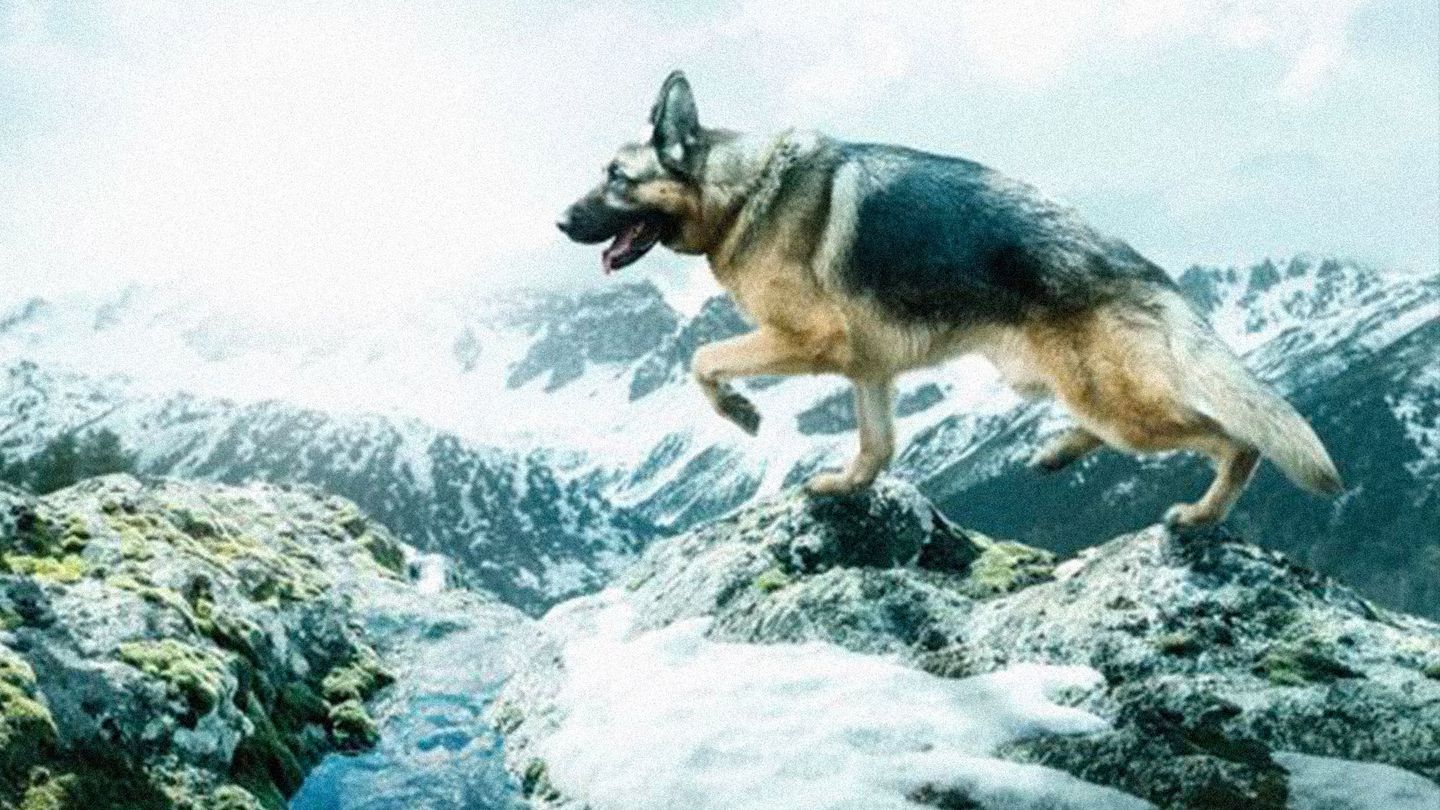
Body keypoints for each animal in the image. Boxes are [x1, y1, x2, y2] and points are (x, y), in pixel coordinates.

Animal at [557, 71, 1343, 526]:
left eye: (616, 178)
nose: (560, 222)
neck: (743, 190)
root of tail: (1145, 267)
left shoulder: (808, 341)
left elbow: (701, 357)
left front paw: (741, 412)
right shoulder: (869, 370)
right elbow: (876, 447)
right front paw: (847, 486)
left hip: (1115, 404)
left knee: (1236, 439)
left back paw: (1200, 515)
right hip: (1059, 384)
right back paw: (1057, 450)